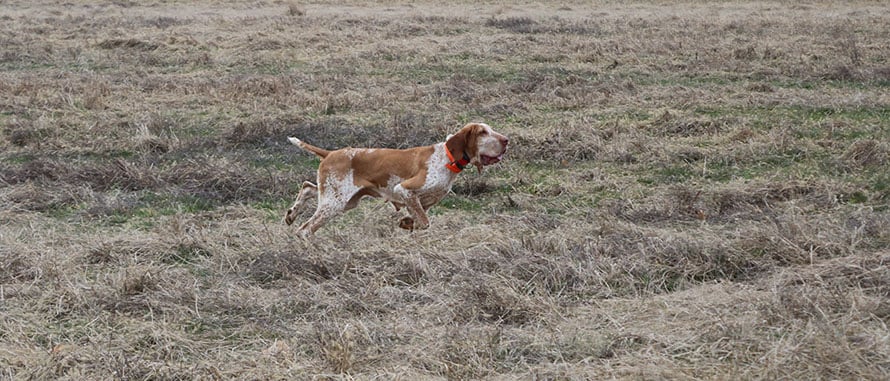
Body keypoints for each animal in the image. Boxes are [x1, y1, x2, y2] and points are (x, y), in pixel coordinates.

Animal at [284, 121, 506, 236]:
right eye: (483, 132)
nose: (506, 140)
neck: (447, 158)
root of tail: (330, 153)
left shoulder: (423, 202)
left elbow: (418, 218)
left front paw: (406, 222)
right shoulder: (404, 189)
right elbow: (424, 222)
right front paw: (408, 223)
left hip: (344, 199)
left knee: (307, 187)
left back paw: (292, 213)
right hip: (334, 202)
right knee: (305, 229)